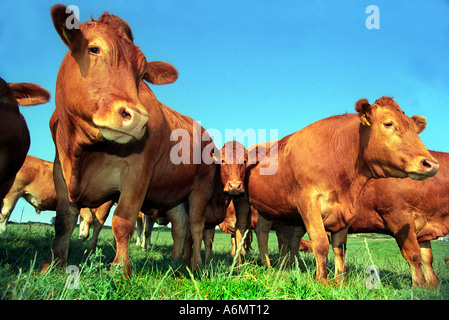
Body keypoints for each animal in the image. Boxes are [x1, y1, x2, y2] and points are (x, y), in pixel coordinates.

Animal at [43, 5, 218, 276]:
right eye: (94, 49)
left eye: (142, 73)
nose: (138, 119)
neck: (85, 152)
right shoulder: (59, 170)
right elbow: (64, 221)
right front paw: (54, 264)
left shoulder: (138, 173)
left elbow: (122, 222)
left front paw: (119, 271)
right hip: (174, 192)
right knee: (180, 225)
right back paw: (175, 261)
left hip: (201, 187)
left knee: (197, 227)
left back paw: (195, 266)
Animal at [238, 97, 438, 282]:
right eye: (388, 123)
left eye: (414, 128)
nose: (431, 163)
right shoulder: (308, 203)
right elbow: (320, 243)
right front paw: (322, 280)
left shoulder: (347, 211)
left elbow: (339, 248)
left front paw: (341, 280)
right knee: (255, 232)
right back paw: (261, 265)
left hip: (267, 208)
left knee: (262, 232)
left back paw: (271, 265)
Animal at [350, 150, 448, 288]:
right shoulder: (399, 216)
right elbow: (414, 255)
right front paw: (419, 286)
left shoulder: (423, 228)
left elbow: (427, 258)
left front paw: (434, 287)